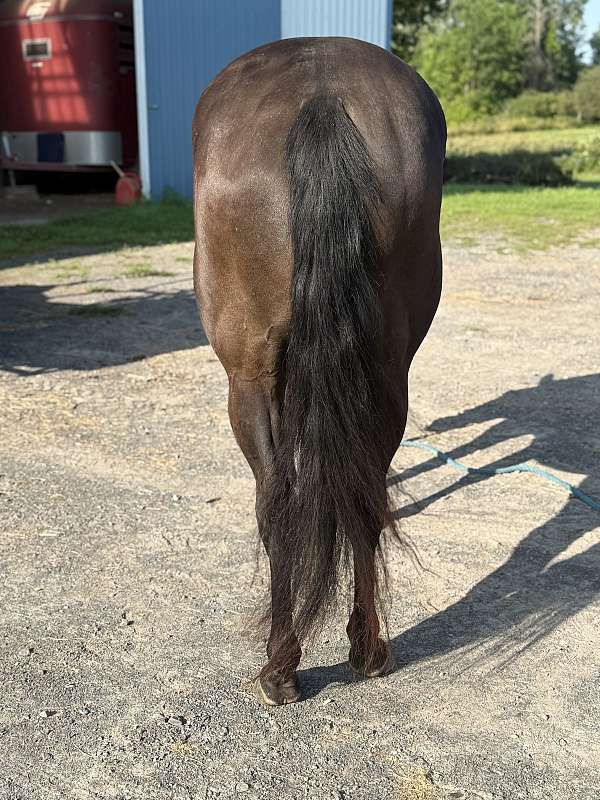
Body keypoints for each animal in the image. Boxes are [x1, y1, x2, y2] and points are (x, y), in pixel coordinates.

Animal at [192, 37, 445, 705]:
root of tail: (322, 96)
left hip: (248, 380)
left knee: (275, 497)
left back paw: (280, 666)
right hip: (386, 374)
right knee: (363, 489)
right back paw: (368, 650)